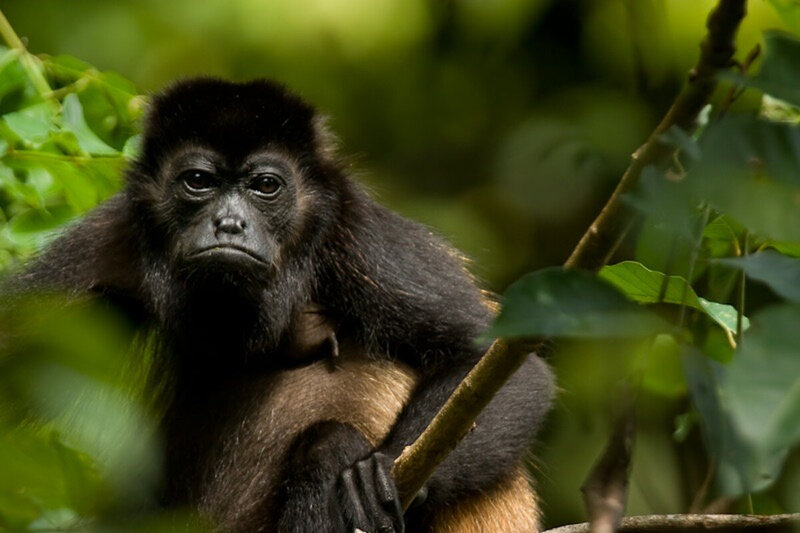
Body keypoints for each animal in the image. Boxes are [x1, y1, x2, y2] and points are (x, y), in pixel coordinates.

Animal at [4, 77, 556, 528]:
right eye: (198, 181)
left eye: (265, 185)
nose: (230, 223)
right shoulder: (104, 245)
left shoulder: (352, 232)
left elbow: (496, 360)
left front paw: (376, 473)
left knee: (329, 443)